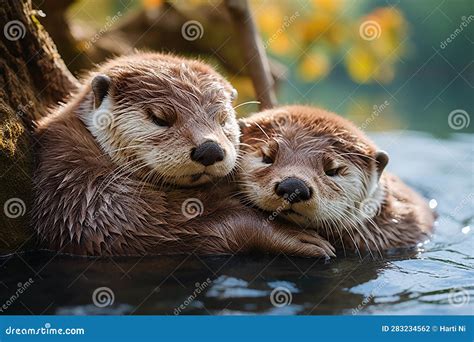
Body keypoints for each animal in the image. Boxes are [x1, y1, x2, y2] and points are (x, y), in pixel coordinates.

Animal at [31, 52, 334, 256]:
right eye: (160, 118)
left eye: (222, 119)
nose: (210, 149)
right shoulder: (77, 187)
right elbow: (143, 233)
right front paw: (291, 236)